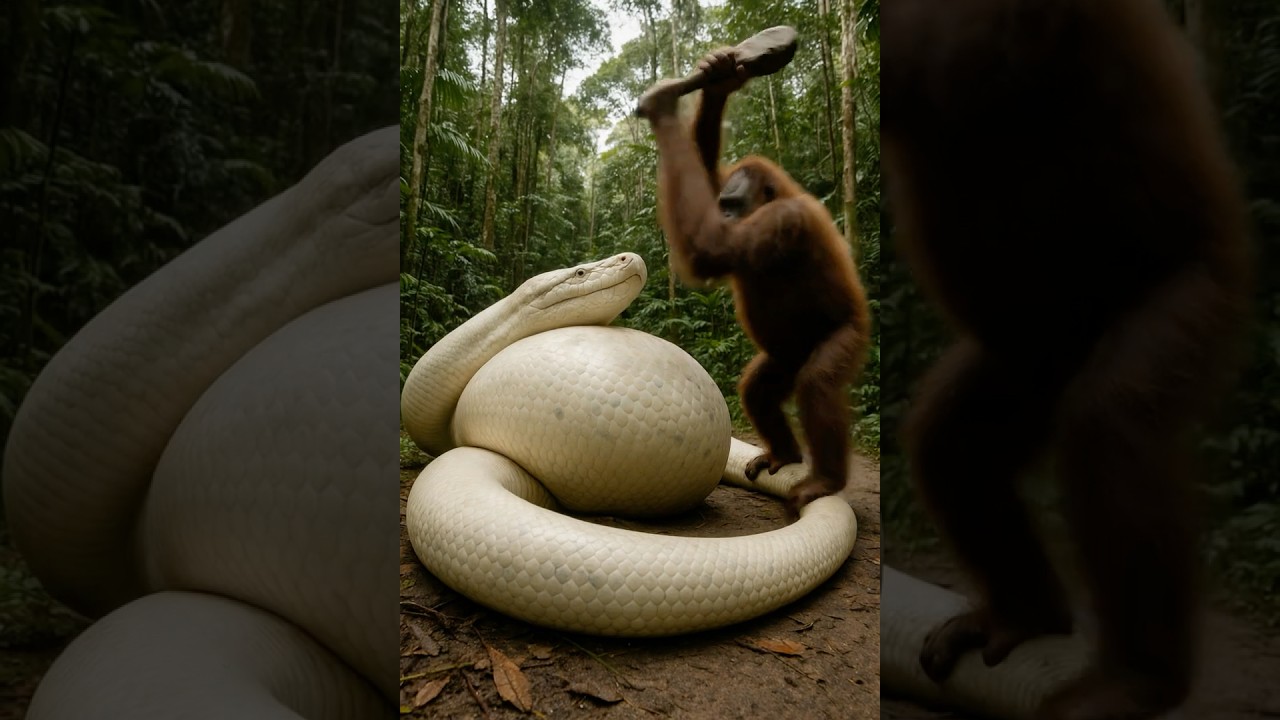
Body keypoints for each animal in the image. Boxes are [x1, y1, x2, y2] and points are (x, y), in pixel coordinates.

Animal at [636, 48, 872, 515]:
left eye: (734, 205)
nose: (726, 213)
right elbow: (704, 175)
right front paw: (719, 77)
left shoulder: (782, 222)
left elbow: (711, 247)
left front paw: (662, 105)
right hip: (785, 357)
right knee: (758, 388)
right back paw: (784, 454)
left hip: (847, 336)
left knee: (817, 383)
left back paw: (825, 480)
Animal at [881, 0, 1251, 717]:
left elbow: (954, 51)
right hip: (1030, 364)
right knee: (953, 445)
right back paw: (1028, 616)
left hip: (1194, 296)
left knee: (1113, 421)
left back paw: (1137, 679)